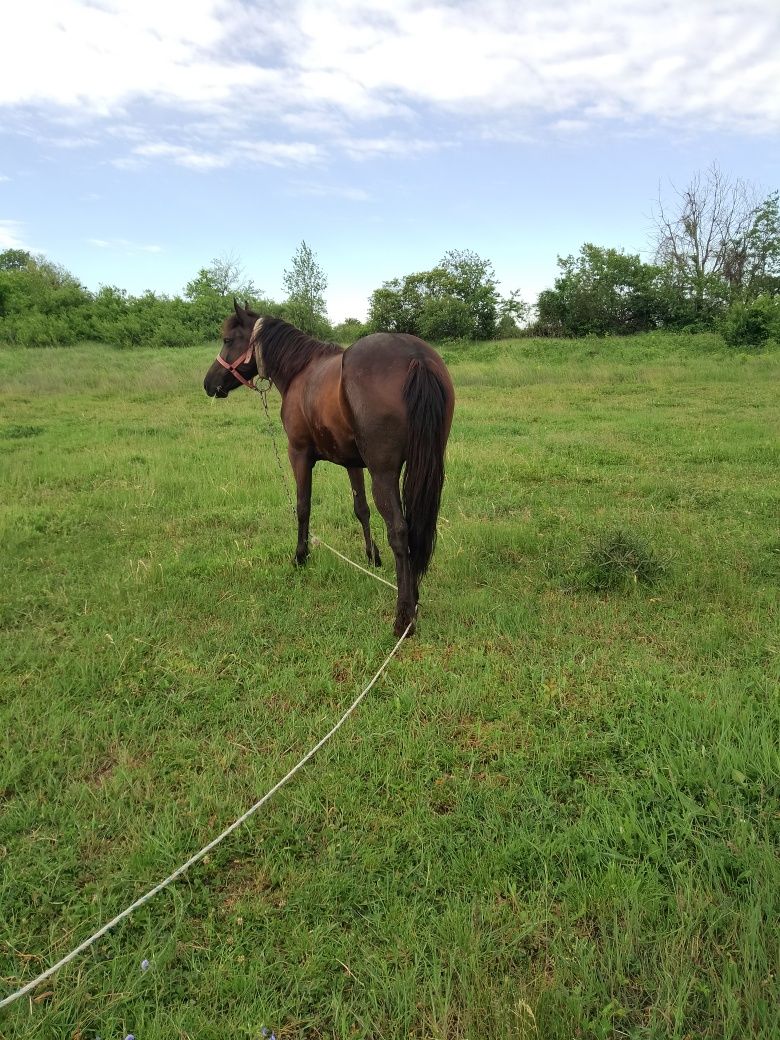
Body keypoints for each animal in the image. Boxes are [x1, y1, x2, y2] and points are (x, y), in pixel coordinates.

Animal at [204, 303, 455, 636]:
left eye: (228, 339)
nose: (209, 383)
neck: (300, 370)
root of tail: (416, 357)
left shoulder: (298, 454)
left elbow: (303, 507)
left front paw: (300, 556)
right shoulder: (353, 464)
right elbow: (361, 510)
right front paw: (372, 556)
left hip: (384, 474)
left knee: (400, 532)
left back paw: (404, 616)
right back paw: (412, 598)